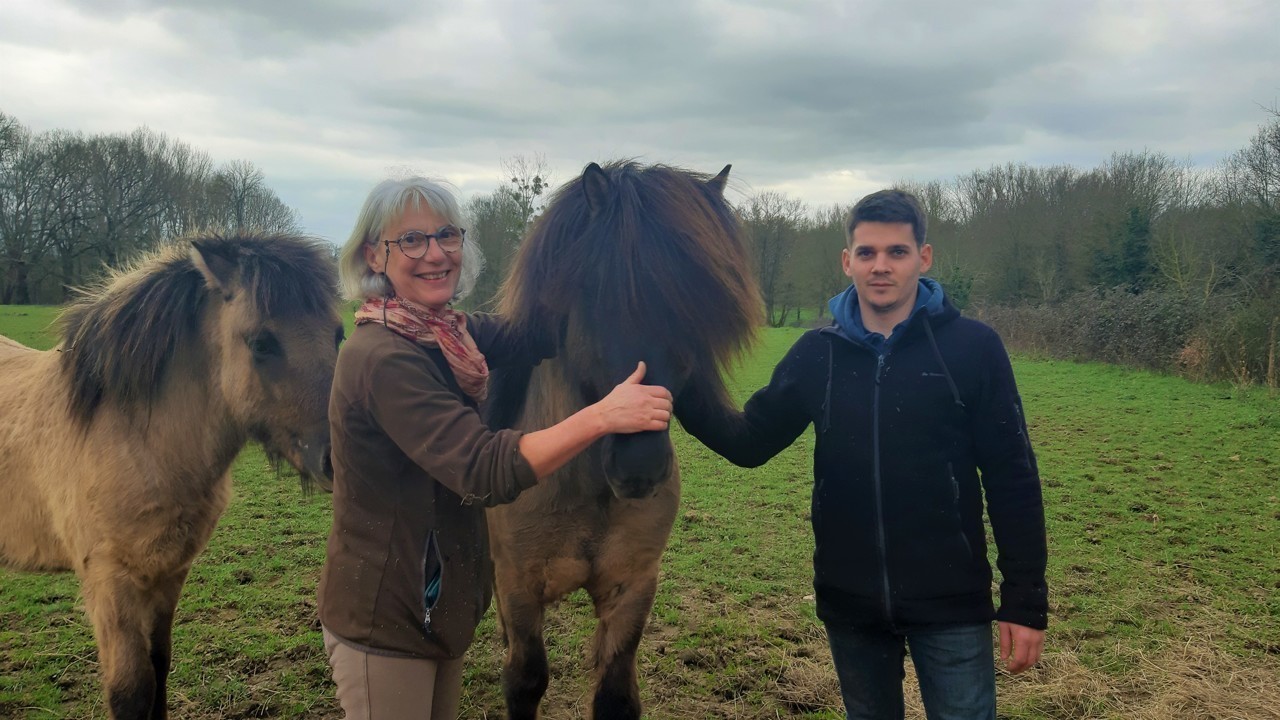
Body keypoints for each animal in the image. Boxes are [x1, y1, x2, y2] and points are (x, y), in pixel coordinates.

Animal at [0, 233, 343, 712]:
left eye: (339, 334)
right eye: (261, 343)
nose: (339, 456)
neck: (134, 437)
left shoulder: (168, 573)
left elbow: (159, 670)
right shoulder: (110, 584)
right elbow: (130, 692)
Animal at [481, 159, 757, 712]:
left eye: (697, 311)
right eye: (598, 297)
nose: (640, 468)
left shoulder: (632, 586)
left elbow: (614, 693)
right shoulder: (519, 586)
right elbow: (524, 678)